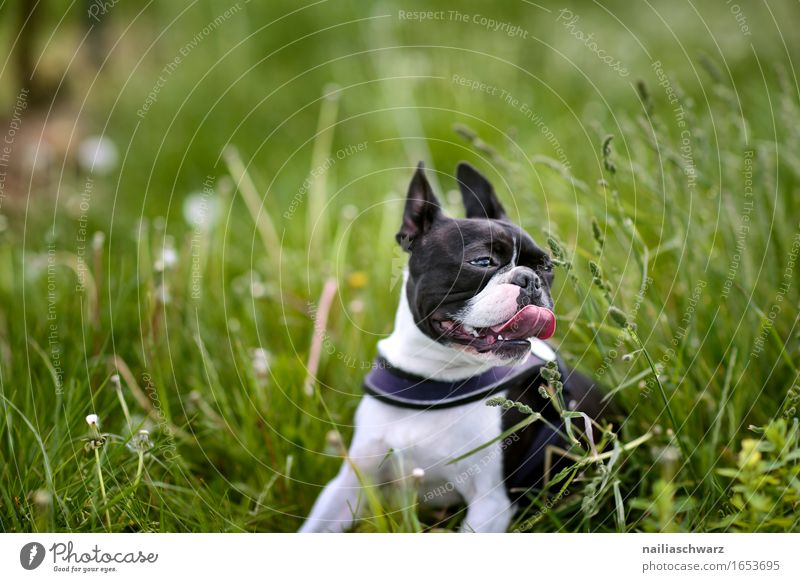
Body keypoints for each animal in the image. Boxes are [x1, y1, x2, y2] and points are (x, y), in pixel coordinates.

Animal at [300, 163, 608, 532]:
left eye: (546, 267)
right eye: (482, 261)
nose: (530, 280)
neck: (435, 380)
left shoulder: (491, 503)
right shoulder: (352, 479)